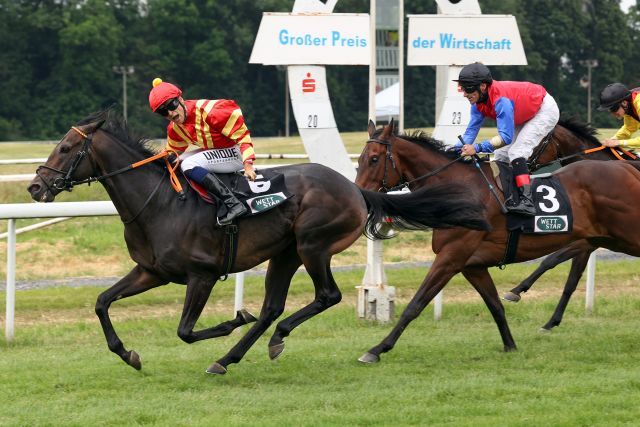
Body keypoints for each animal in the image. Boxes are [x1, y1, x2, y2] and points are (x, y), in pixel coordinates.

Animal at [22, 112, 488, 376]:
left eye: (66, 147)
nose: (35, 187)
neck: (160, 203)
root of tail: (357, 190)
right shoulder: (151, 271)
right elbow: (102, 302)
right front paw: (127, 354)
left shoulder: (201, 275)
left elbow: (185, 330)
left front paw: (232, 318)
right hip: (284, 254)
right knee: (272, 308)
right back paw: (229, 358)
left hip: (312, 245)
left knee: (326, 295)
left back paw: (270, 339)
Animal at [356, 120, 640, 364]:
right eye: (359, 160)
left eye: (374, 159)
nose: (359, 196)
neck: (459, 191)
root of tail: (627, 169)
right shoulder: (472, 265)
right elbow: (495, 305)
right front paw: (510, 345)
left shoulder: (450, 257)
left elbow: (415, 304)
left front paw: (376, 349)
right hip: (606, 238)